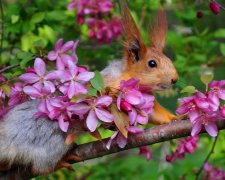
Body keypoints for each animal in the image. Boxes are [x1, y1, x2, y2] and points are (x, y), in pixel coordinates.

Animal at [0, 1, 179, 177]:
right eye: (152, 63)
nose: (175, 79)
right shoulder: (110, 89)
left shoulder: (147, 101)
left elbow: (158, 116)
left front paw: (176, 117)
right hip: (51, 139)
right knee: (41, 167)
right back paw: (62, 161)